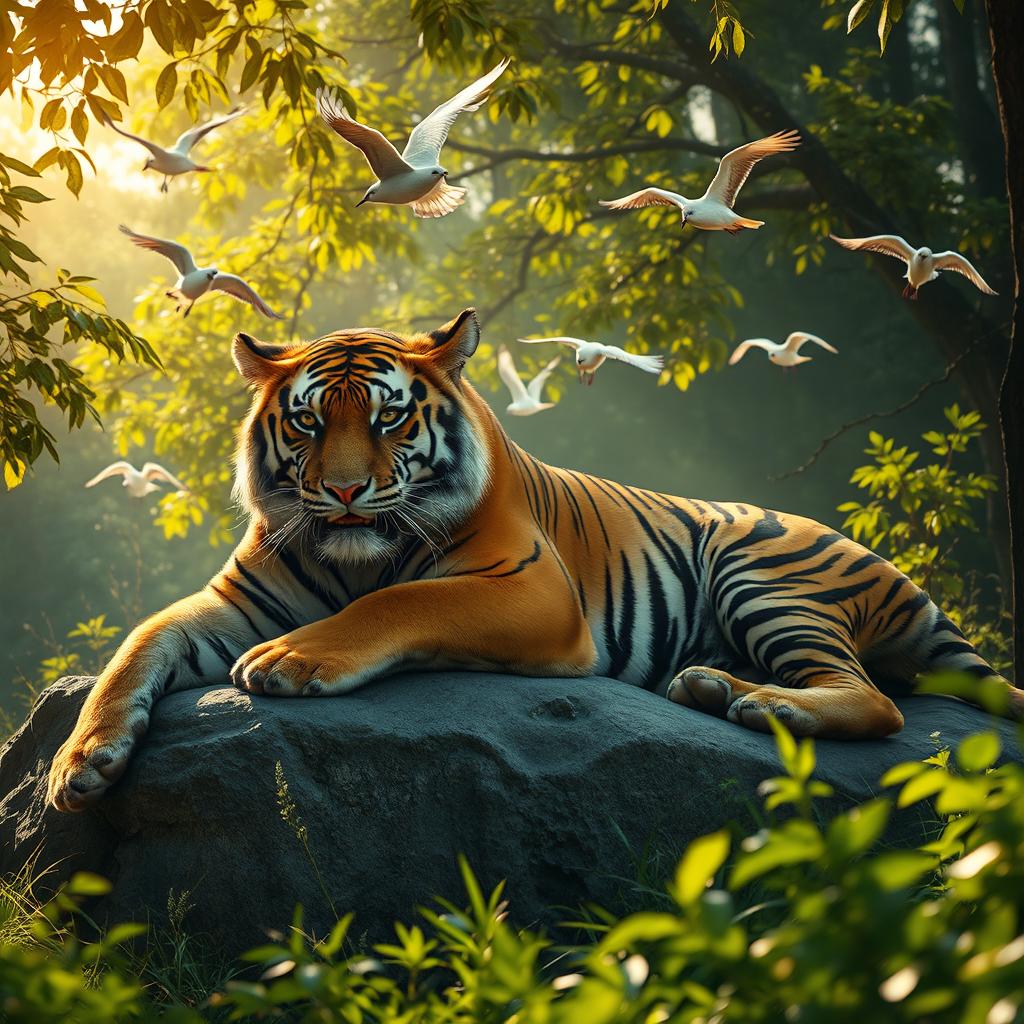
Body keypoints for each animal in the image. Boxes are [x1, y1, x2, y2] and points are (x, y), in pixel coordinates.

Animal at [48, 308, 1022, 811]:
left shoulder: (530, 590)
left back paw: (746, 700)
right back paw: (714, 686)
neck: (354, 553)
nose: (348, 492)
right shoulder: (236, 597)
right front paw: (79, 763)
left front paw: (291, 659)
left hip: (763, 570)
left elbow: (395, 606)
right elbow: (137, 646)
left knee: (876, 702)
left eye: (390, 418)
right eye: (310, 423)